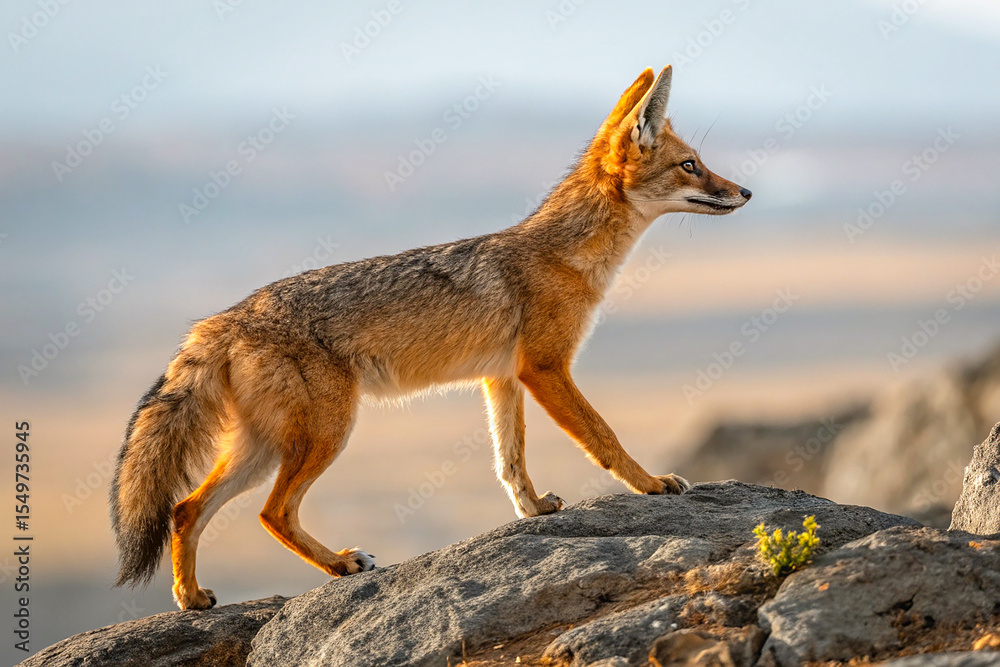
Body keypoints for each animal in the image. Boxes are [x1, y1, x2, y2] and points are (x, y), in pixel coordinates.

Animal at [109, 65, 752, 610]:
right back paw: (340, 565)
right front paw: (650, 485)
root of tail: (222, 319)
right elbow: (604, 437)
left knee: (186, 510)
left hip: (265, 446)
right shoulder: (545, 369)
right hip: (321, 436)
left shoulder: (503, 378)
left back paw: (191, 598)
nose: (746, 192)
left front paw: (533, 510)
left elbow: (510, 461)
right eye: (691, 165)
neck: (566, 253)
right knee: (271, 513)